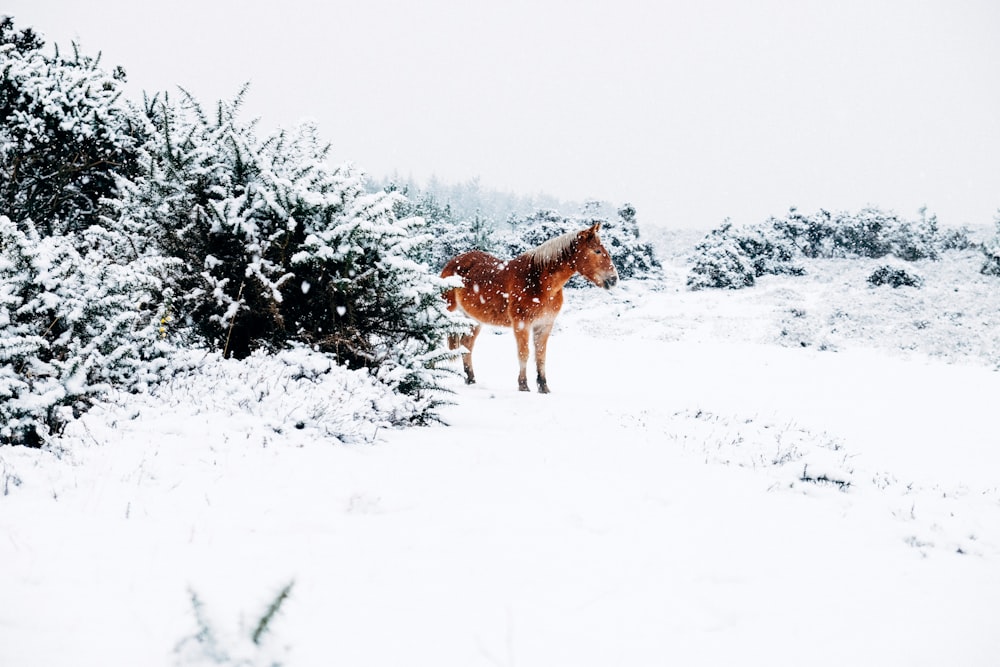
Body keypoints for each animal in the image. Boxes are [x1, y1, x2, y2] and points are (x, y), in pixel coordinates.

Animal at [444, 222, 616, 394]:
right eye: (597, 251)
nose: (614, 279)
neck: (539, 281)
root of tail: (452, 262)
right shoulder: (522, 324)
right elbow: (524, 353)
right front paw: (523, 386)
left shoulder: (545, 325)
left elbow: (540, 356)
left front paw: (543, 387)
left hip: (474, 320)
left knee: (467, 345)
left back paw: (471, 379)